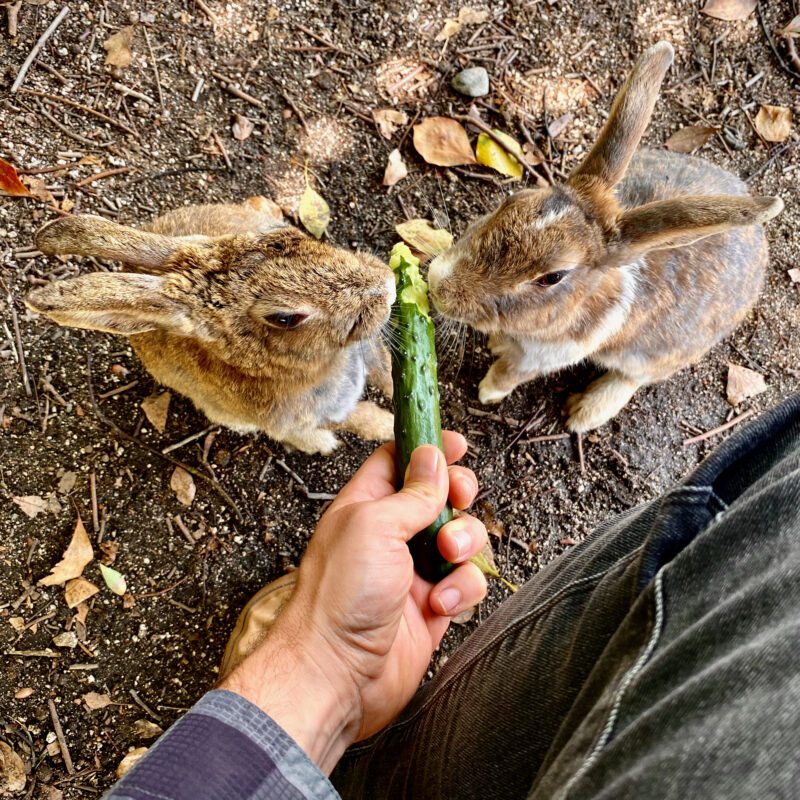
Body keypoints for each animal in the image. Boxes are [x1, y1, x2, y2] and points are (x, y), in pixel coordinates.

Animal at [427, 41, 784, 433]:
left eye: (552, 277)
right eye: (512, 200)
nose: (437, 285)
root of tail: (760, 246)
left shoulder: (543, 358)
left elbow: (510, 373)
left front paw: (487, 392)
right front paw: (495, 344)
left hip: (655, 357)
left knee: (632, 379)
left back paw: (584, 412)